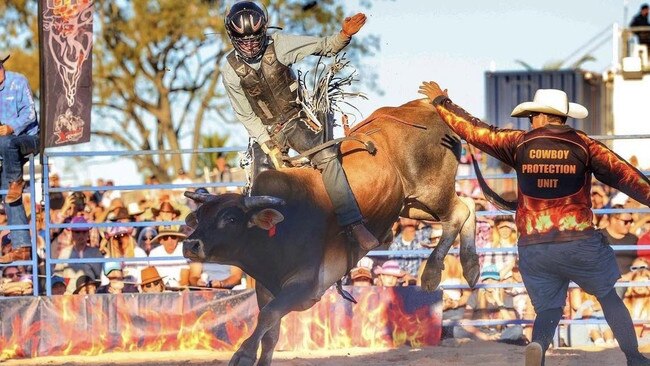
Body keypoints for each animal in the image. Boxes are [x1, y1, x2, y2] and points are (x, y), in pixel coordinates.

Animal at [181, 98, 476, 364]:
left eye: (230, 218)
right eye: (199, 216)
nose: (190, 245)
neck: (282, 229)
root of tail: (427, 105)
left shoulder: (303, 286)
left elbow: (268, 316)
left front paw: (242, 354)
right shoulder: (265, 288)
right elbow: (271, 332)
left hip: (433, 192)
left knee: (456, 215)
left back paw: (432, 273)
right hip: (411, 205)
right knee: (468, 207)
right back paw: (471, 266)